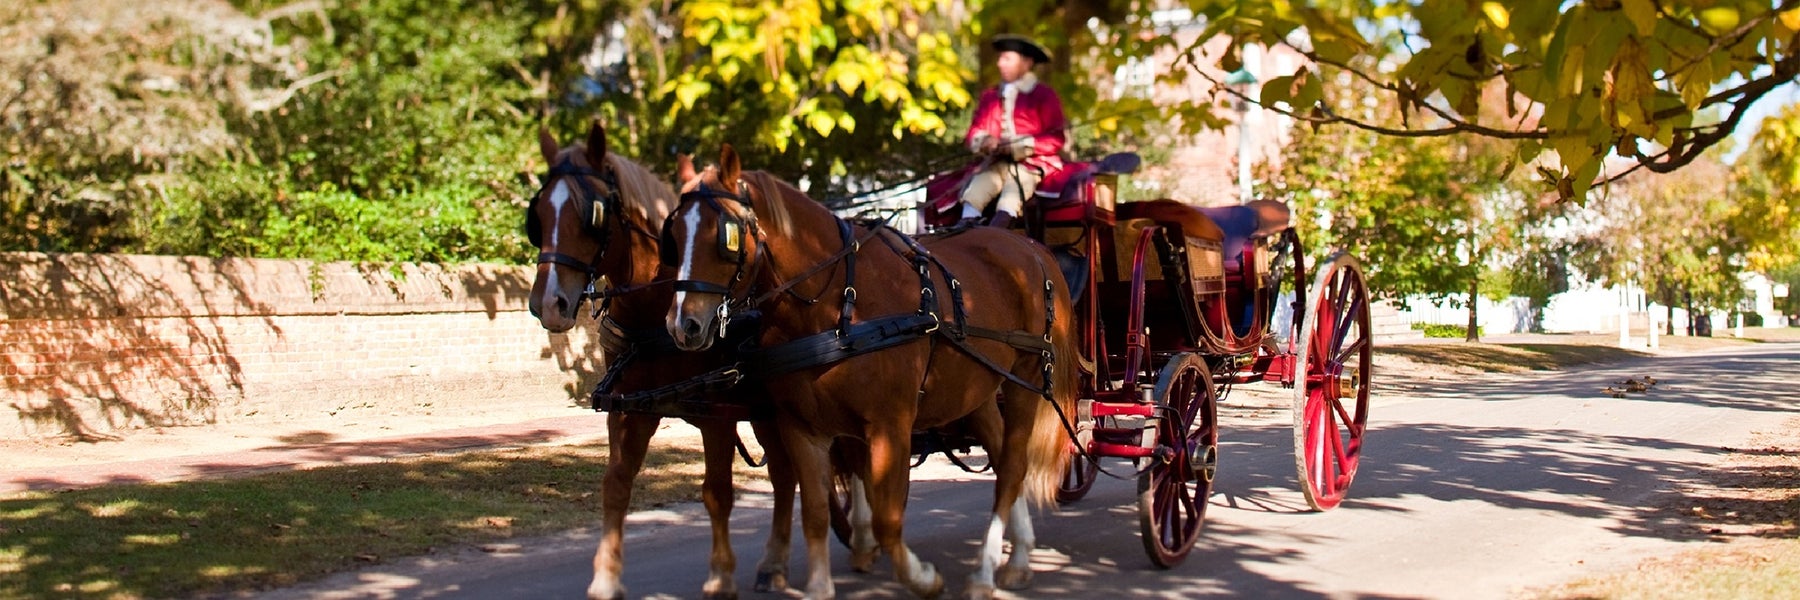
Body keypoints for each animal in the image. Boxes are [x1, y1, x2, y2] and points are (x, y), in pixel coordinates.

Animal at [525, 122, 799, 598]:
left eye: (590, 215)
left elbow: (717, 493)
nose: (548, 303)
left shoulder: (717, 413)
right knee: (787, 472)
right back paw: (776, 562)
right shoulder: (629, 409)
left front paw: (720, 576)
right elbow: (615, 485)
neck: (653, 311)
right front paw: (606, 578)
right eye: (538, 215)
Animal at [666, 145, 1080, 598]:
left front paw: (923, 577)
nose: (683, 325)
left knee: (1013, 469)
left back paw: (992, 569)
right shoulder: (801, 427)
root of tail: (1030, 248)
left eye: (725, 236)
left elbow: (887, 518)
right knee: (1004, 457)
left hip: (1026, 381)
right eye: (673, 235)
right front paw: (819, 586)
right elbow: (815, 513)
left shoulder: (890, 424)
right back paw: (1018, 553)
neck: (836, 306)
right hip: (978, 391)